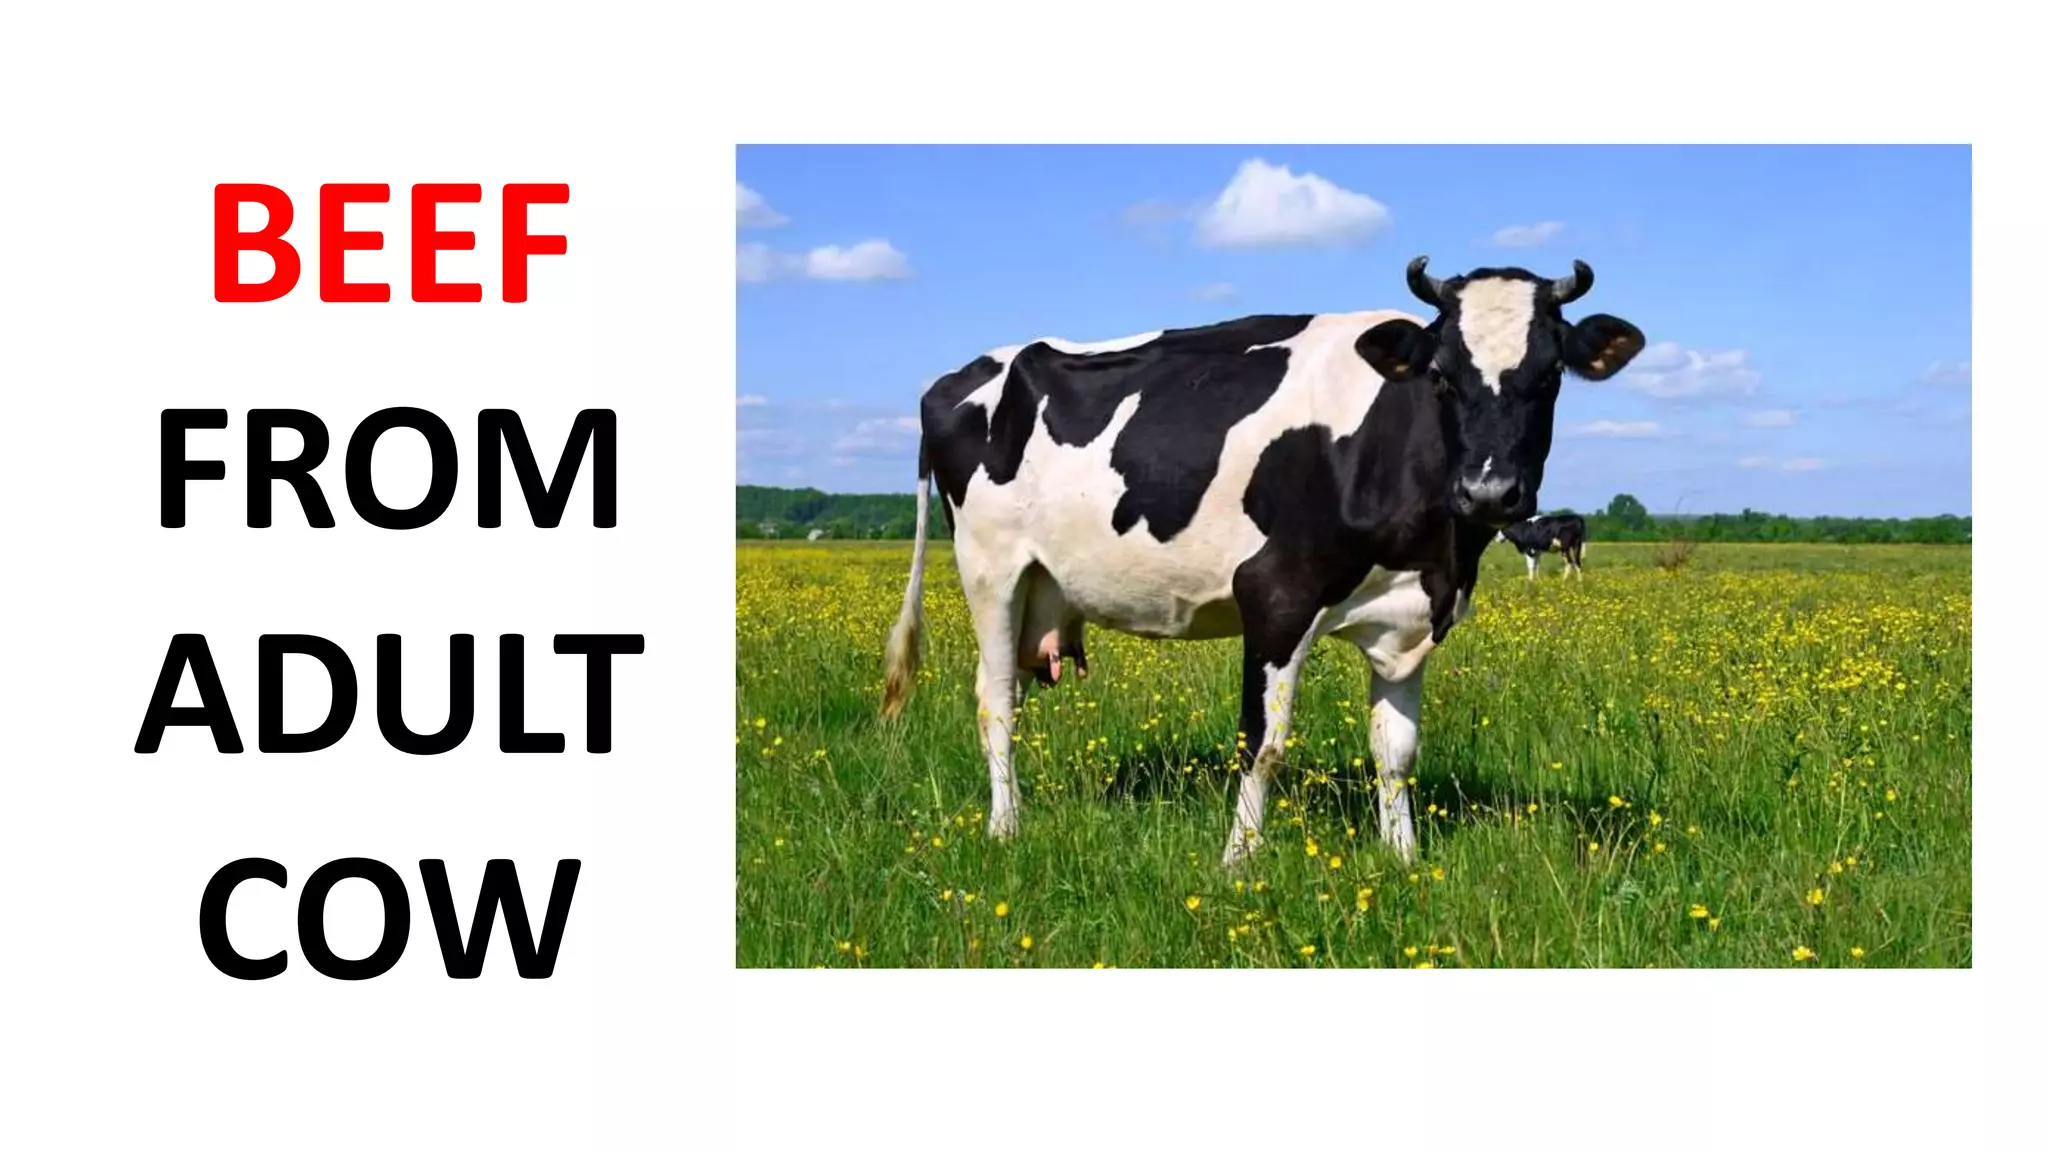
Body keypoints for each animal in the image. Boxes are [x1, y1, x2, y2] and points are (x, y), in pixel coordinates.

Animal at [879, 256, 1644, 865]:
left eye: (1550, 374)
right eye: (1442, 376)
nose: (1489, 491)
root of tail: (962, 375)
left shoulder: (1406, 617)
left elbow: (1395, 751)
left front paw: (1403, 858)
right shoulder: (1275, 597)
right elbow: (1262, 742)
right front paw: (1239, 860)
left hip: (1043, 584)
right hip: (991, 570)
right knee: (995, 701)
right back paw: (1004, 827)